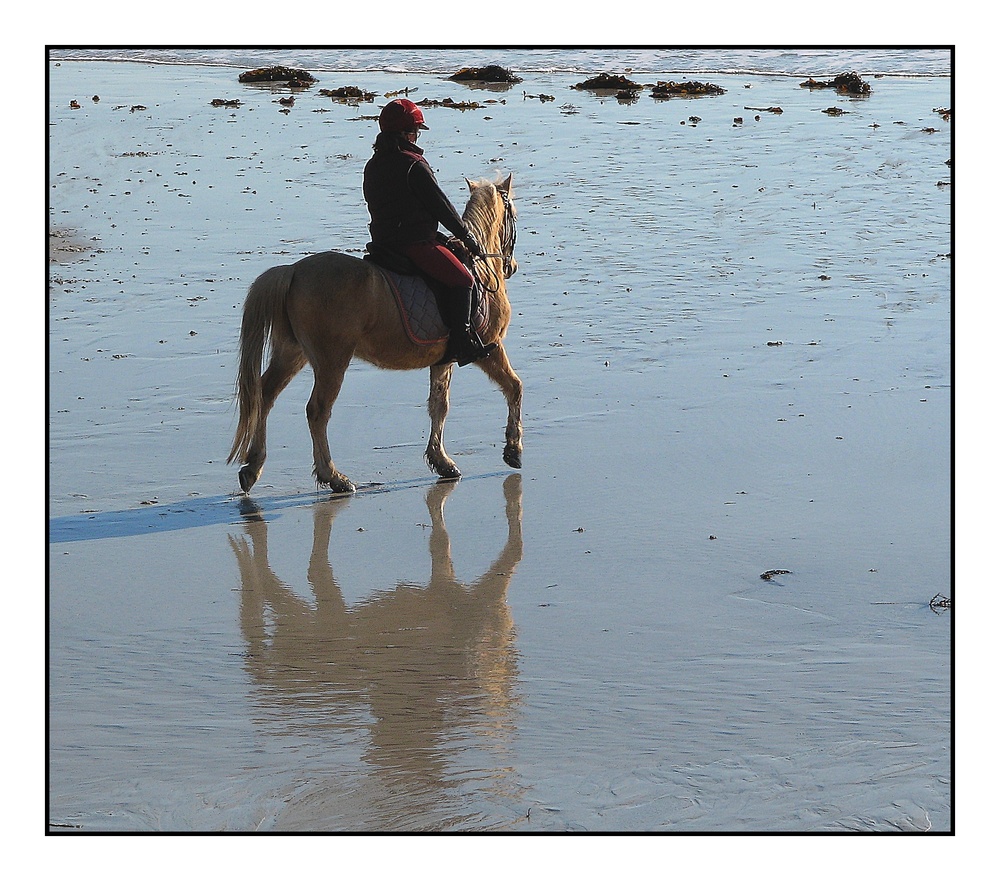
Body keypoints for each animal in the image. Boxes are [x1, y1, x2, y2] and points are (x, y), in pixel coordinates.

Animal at [229, 172, 524, 496]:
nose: (511, 266)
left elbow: (439, 405)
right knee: (317, 411)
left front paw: (442, 461)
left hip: (291, 353)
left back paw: (253, 467)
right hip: (331, 361)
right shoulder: (489, 348)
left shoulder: (443, 359)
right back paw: (334, 477)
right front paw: (513, 449)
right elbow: (514, 387)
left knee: (265, 394)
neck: (479, 269)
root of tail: (293, 270)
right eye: (513, 214)